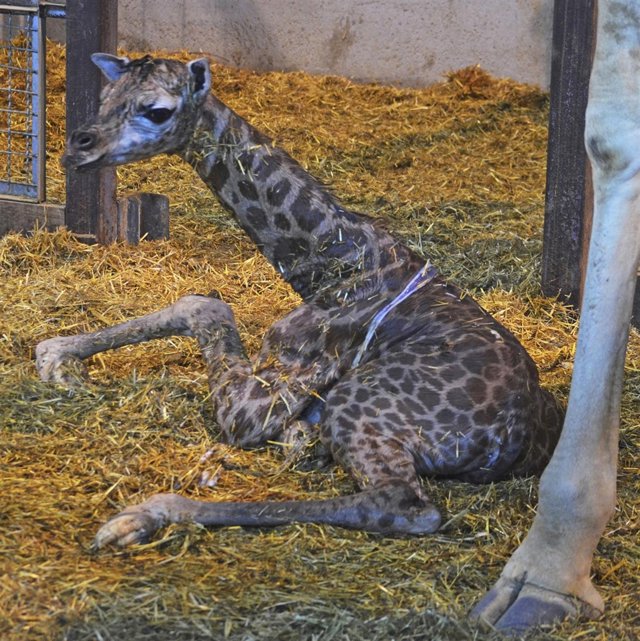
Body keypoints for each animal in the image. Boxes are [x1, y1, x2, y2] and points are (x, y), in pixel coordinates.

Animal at [36, 52, 565, 557]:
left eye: (157, 110)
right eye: (105, 98)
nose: (79, 146)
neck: (337, 263)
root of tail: (516, 437)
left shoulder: (261, 400)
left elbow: (209, 307)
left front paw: (56, 358)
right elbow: (199, 302)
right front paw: (56, 356)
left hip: (358, 404)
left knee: (403, 504)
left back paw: (145, 515)